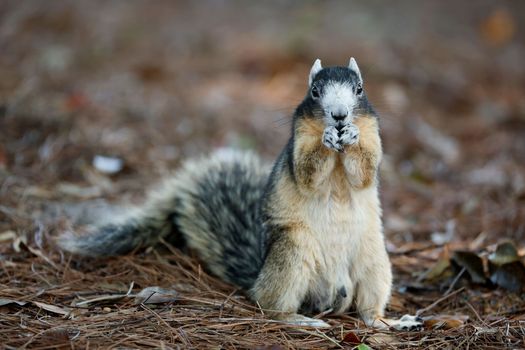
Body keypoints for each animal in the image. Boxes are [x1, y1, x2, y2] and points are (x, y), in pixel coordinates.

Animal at [58, 58, 422, 330]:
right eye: (315, 91)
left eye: (359, 89)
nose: (339, 115)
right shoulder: (299, 137)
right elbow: (308, 172)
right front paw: (327, 140)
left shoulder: (372, 132)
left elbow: (365, 170)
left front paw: (353, 137)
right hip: (292, 251)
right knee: (270, 305)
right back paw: (299, 320)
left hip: (374, 260)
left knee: (367, 311)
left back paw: (390, 322)